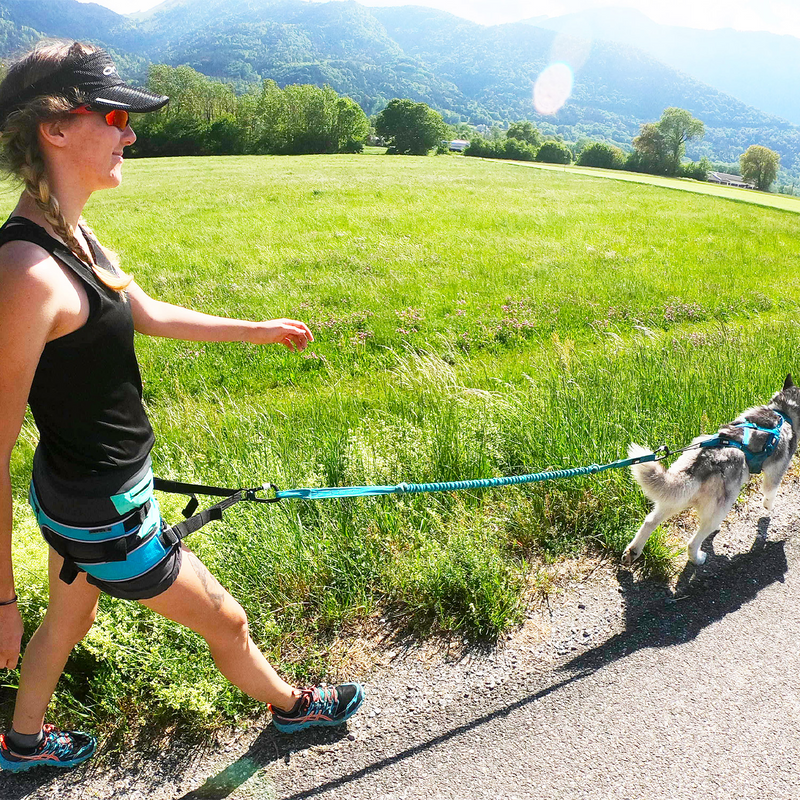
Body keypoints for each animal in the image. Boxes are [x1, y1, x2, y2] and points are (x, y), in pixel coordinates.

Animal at [624, 374, 800, 564]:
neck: (783, 411)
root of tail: (701, 464)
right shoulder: (776, 470)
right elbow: (770, 492)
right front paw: (768, 507)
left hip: (674, 498)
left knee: (650, 521)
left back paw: (634, 550)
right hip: (718, 509)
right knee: (693, 542)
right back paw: (697, 558)